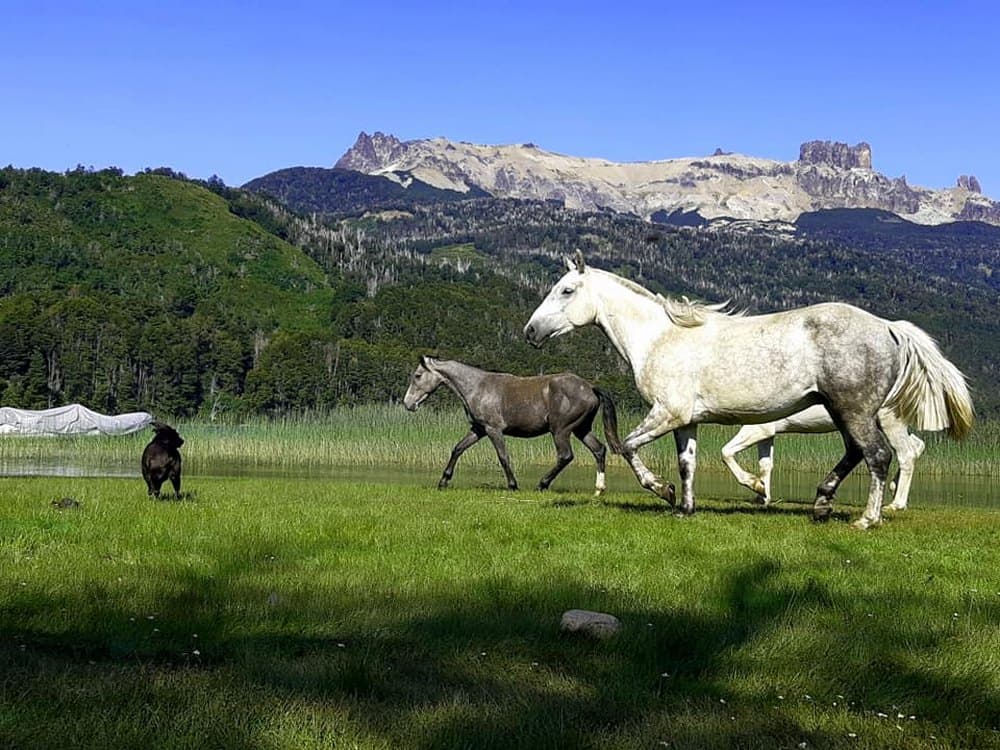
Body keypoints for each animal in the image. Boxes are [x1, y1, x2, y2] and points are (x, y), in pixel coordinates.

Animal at [403, 356, 622, 495]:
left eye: (418, 375)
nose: (408, 403)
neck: (477, 387)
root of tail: (590, 387)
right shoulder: (478, 430)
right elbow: (457, 449)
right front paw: (443, 481)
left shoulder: (493, 430)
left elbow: (503, 457)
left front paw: (513, 485)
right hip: (581, 430)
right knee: (599, 450)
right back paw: (599, 490)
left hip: (561, 431)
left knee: (565, 456)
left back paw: (542, 485)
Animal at [721, 404, 925, 510]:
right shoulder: (767, 432)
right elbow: (765, 464)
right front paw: (762, 495)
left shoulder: (758, 428)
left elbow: (726, 452)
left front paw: (755, 485)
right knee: (917, 446)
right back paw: (894, 488)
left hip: (890, 422)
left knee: (906, 454)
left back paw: (896, 504)